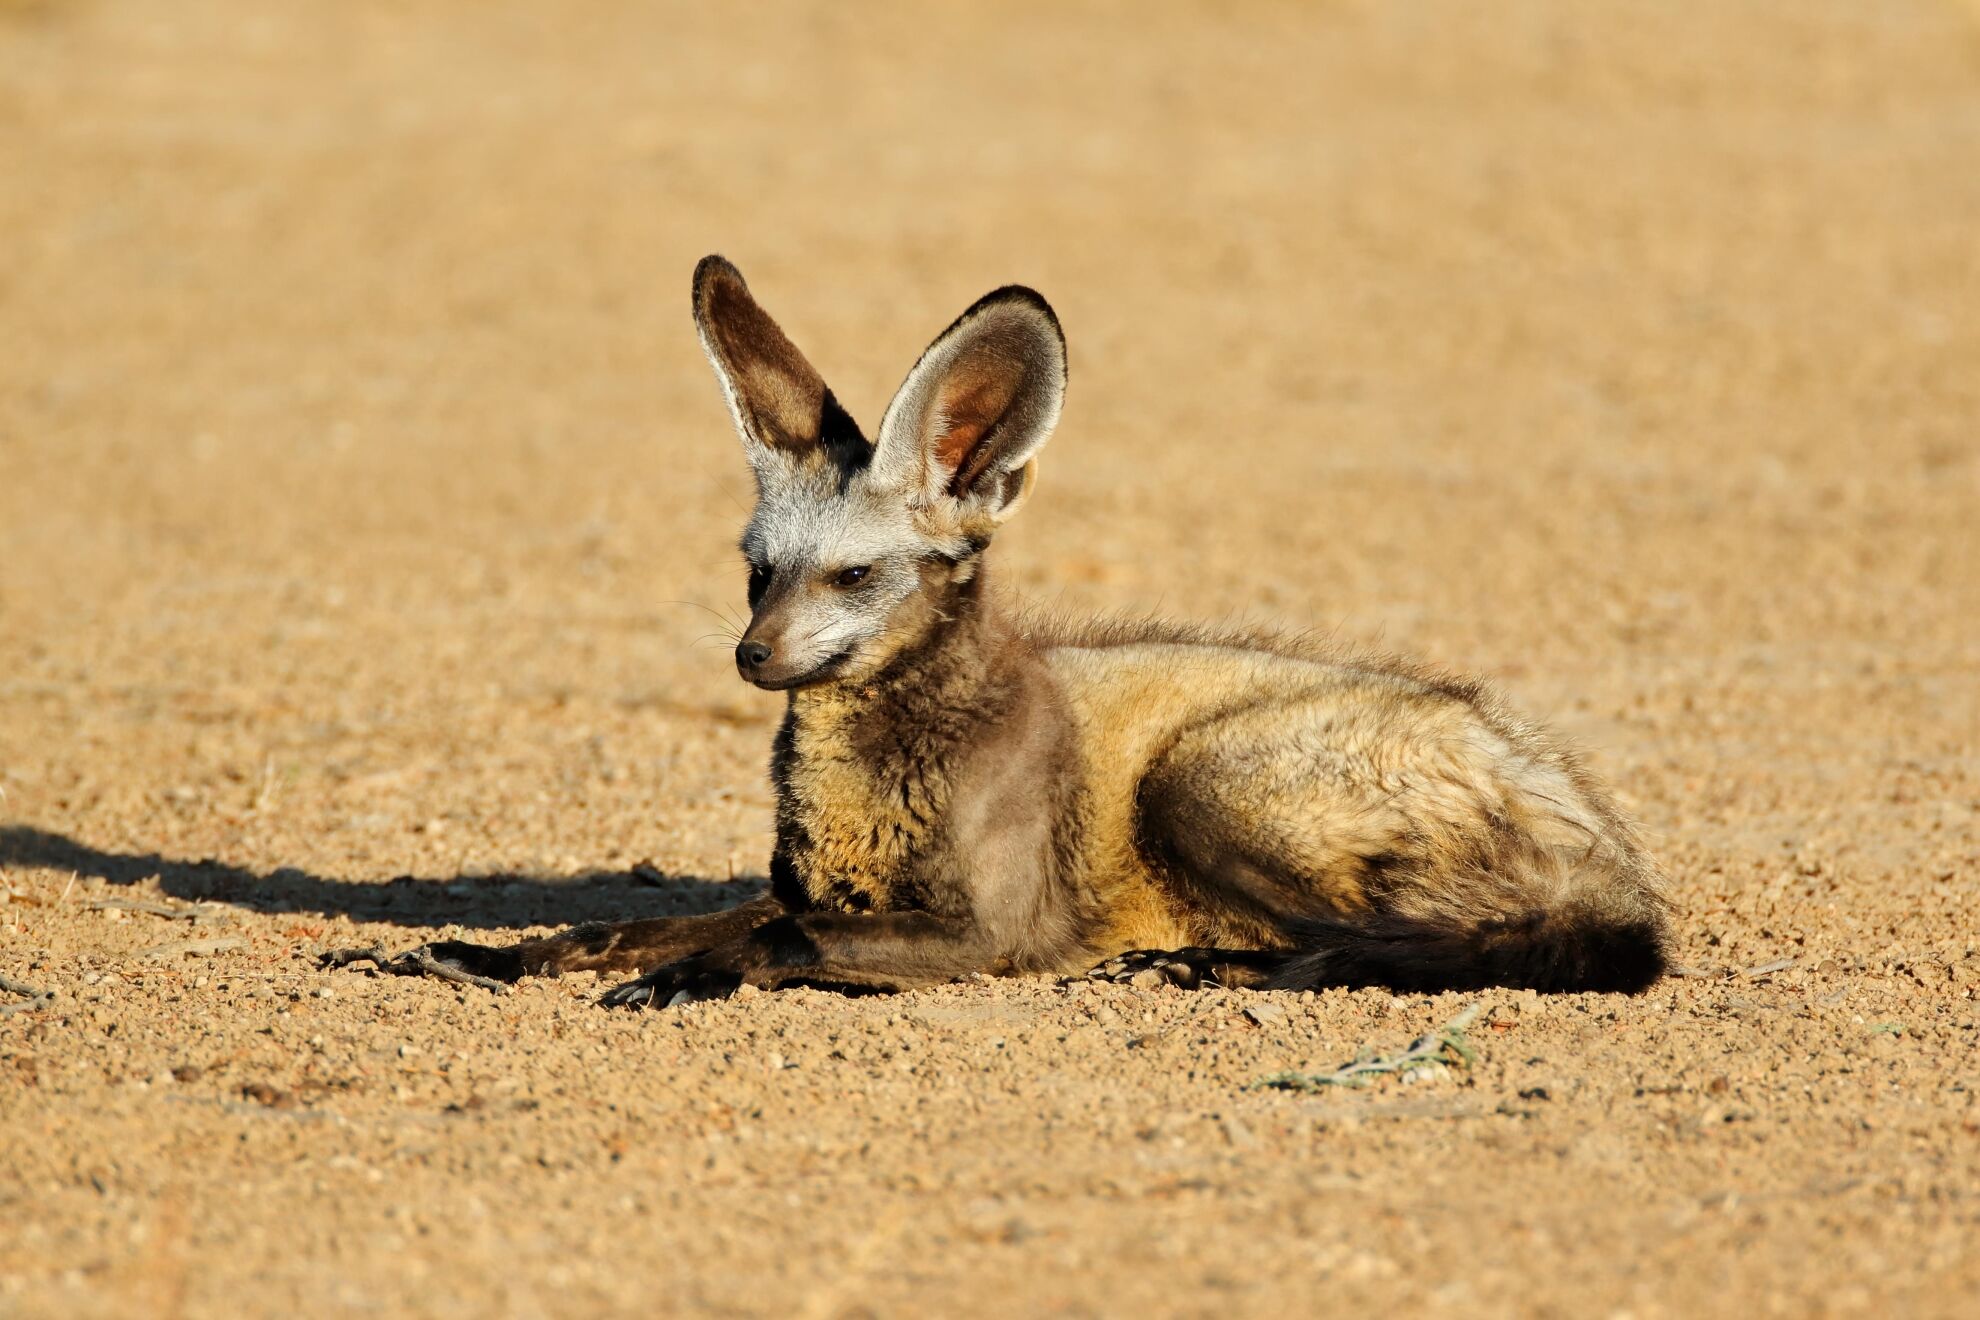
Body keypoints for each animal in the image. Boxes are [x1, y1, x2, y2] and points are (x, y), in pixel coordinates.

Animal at [354, 256, 1670, 1008]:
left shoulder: (996, 930)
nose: (752, 658)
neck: (880, 782)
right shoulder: (814, 885)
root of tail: (1591, 820)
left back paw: (1232, 965)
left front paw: (695, 978)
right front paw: (484, 958)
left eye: (856, 574)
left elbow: (780, 940)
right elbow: (620, 923)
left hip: (1201, 780)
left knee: (1462, 941)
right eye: (755, 573)